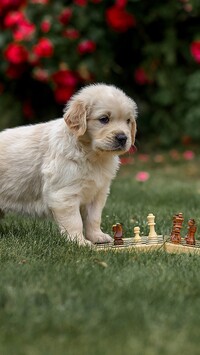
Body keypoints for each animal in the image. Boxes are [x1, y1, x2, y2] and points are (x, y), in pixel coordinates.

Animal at [0, 84, 137, 245]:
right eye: (104, 119)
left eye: (128, 121)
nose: (123, 138)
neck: (92, 155)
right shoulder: (65, 195)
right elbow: (74, 221)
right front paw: (79, 242)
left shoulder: (97, 193)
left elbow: (94, 218)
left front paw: (97, 236)